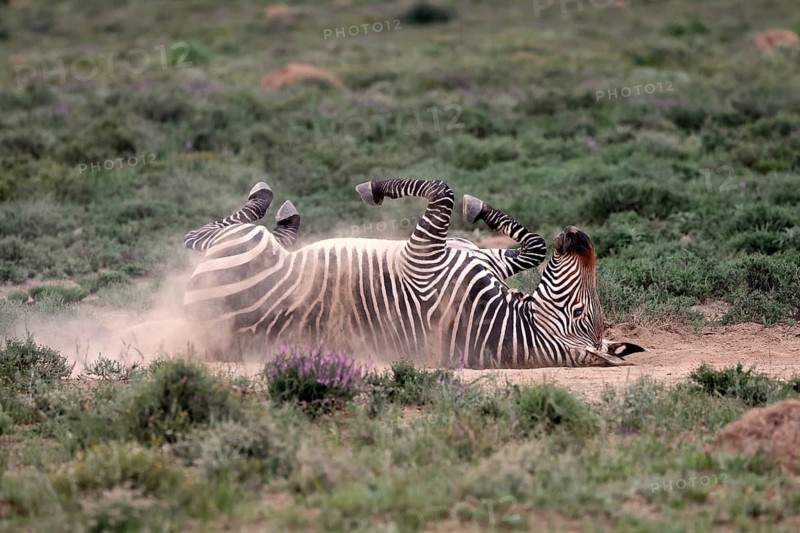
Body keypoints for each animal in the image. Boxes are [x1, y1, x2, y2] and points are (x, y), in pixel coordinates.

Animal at [182, 179, 643, 368]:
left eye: (580, 312)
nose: (577, 233)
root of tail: (199, 315)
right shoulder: (480, 257)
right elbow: (533, 246)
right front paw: (478, 207)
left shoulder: (423, 254)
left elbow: (441, 189)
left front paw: (373, 189)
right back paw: (285, 220)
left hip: (243, 245)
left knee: (200, 236)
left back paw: (271, 204)